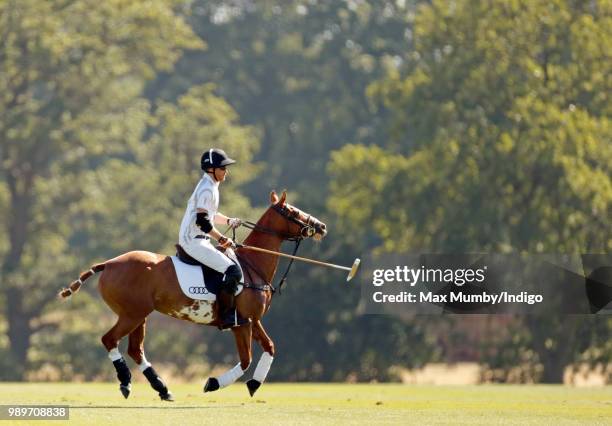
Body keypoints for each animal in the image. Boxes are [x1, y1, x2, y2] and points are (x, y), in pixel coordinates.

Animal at [58, 191, 328, 402]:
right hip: (131, 314)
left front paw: (253, 384)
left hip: (139, 315)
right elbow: (245, 360)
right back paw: (126, 382)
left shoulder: (252, 319)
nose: (322, 226)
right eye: (292, 210)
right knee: (109, 340)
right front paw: (213, 383)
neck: (253, 263)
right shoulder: (241, 323)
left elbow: (270, 347)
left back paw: (162, 388)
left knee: (135, 349)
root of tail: (108, 264)